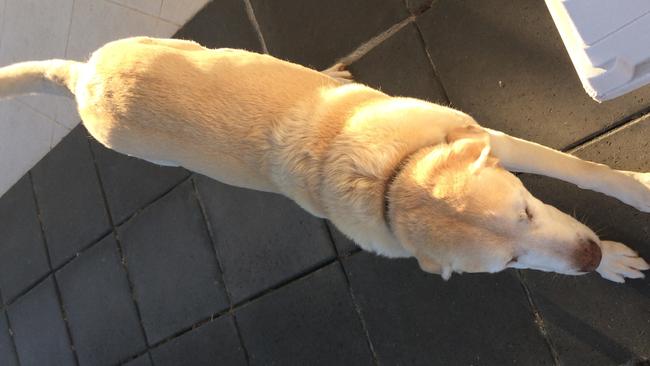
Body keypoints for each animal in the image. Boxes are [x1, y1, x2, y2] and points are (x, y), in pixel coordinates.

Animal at [1, 37, 648, 282]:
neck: (390, 180)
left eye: (526, 211)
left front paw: (637, 191)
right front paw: (614, 261)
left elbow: (584, 170)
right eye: (509, 262)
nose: (591, 256)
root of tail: (82, 77)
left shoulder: (486, 137)